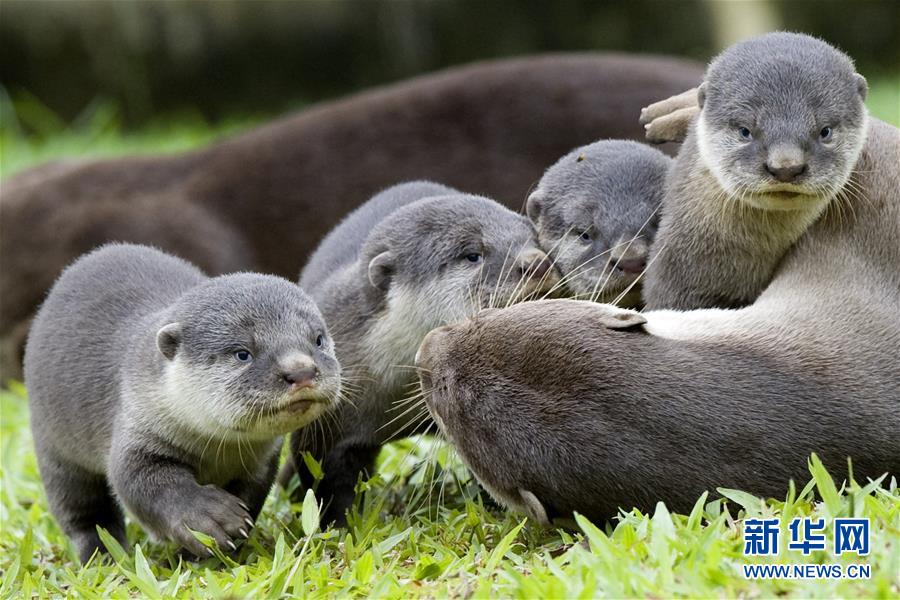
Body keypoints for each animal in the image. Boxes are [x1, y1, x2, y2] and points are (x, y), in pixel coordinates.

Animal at [24, 244, 342, 564]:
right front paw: (210, 519)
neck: (216, 451)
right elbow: (143, 482)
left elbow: (251, 494)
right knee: (82, 513)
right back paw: (101, 555)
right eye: (243, 353)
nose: (301, 371)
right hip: (56, 450)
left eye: (317, 339)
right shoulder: (136, 427)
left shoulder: (260, 461)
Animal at [284, 179, 560, 524]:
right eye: (472, 254)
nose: (537, 262)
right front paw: (339, 526)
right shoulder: (324, 427)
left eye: (534, 238)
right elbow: (325, 482)